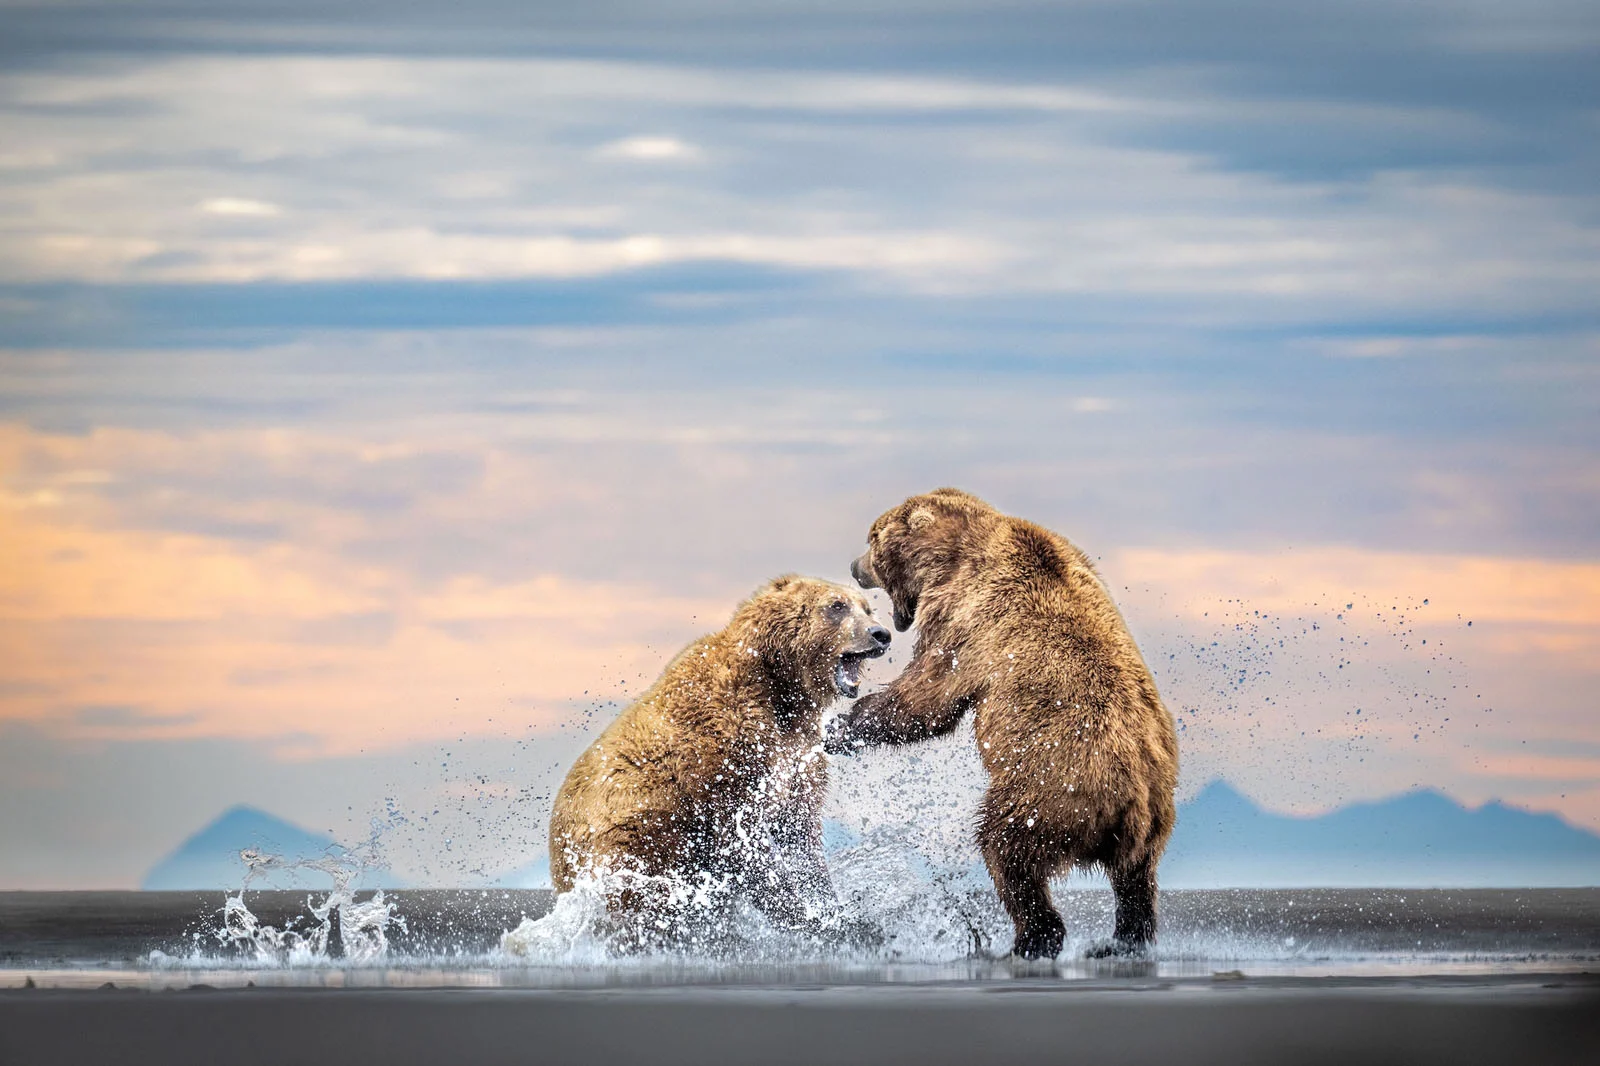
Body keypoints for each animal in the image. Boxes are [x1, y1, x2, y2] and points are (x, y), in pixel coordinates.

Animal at [548, 574, 891, 946]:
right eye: (836, 605)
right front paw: (812, 920)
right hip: (632, 839)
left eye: (867, 607)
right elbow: (744, 841)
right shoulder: (725, 750)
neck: (780, 688)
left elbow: (802, 839)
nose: (880, 633)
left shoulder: (800, 758)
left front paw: (835, 911)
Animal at [826, 489, 1178, 960]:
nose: (854, 565)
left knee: (1007, 851)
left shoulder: (967, 616)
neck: (949, 557)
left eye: (872, 538)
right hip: (1153, 822)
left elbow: (928, 696)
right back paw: (1121, 942)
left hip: (1047, 790)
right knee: (1136, 881)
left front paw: (841, 727)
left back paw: (1031, 938)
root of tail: (1134, 797)